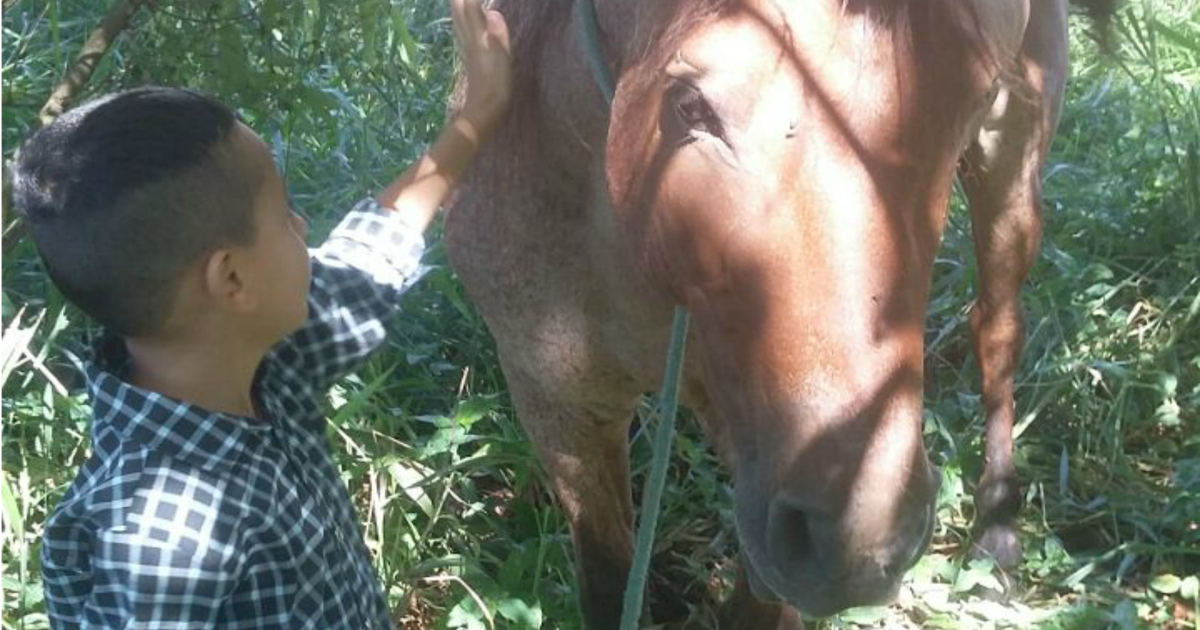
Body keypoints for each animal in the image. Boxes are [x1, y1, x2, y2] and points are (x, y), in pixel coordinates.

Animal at [444, 1, 1113, 624]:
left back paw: (996, 537)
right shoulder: (560, 405)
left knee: (997, 329)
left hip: (1011, 161)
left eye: (970, 103)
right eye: (692, 106)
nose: (864, 545)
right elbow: (609, 585)